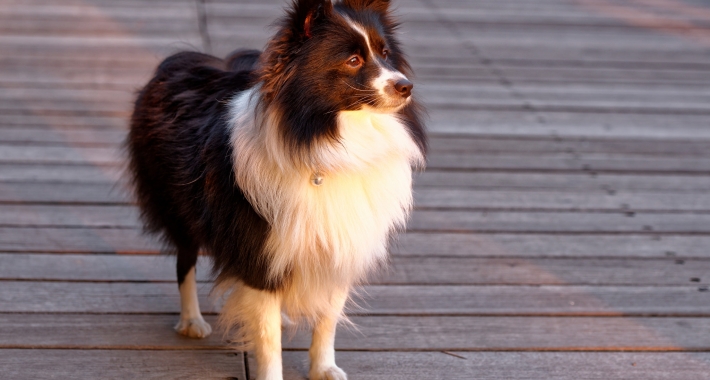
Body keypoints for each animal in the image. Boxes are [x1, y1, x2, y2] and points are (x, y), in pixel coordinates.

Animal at [126, 0, 428, 378]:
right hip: (180, 209)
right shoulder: (260, 253)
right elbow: (268, 338)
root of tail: (182, 62)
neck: (330, 137)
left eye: (386, 54)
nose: (406, 86)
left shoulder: (341, 246)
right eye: (353, 60)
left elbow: (327, 318)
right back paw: (192, 321)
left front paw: (323, 367)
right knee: (185, 260)